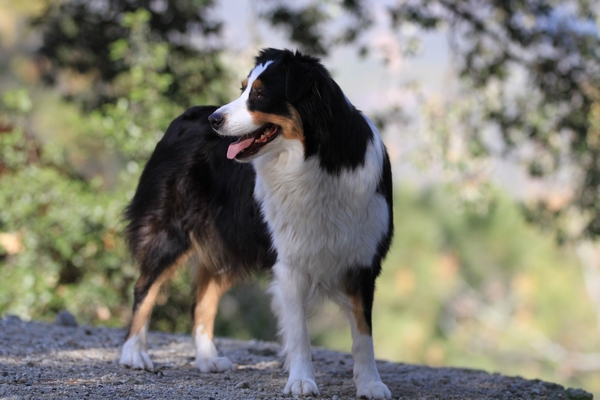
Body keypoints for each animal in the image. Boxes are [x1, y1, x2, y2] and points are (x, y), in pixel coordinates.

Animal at [120, 48, 393, 399]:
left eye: (260, 94)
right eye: (242, 89)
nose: (214, 120)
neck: (318, 160)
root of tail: (185, 115)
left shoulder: (362, 259)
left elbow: (363, 333)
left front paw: (370, 383)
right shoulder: (289, 261)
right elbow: (299, 333)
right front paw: (301, 381)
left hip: (227, 242)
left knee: (203, 299)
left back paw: (207, 359)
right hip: (170, 231)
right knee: (144, 286)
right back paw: (134, 353)